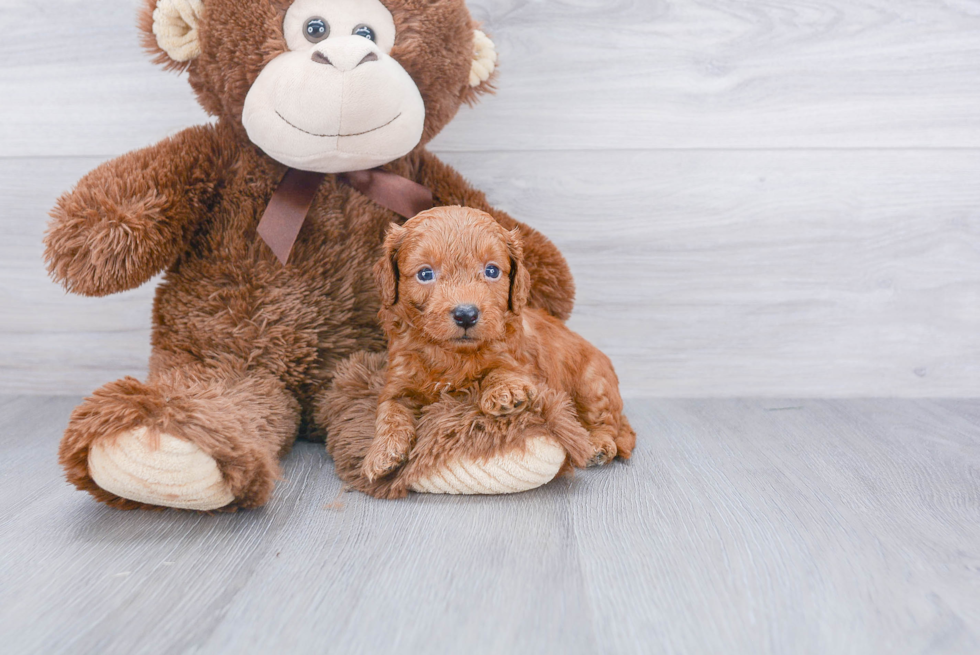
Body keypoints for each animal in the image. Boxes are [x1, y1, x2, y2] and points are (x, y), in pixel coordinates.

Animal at [362, 205, 636, 482]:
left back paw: (598, 444)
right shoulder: (398, 382)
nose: (466, 314)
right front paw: (381, 452)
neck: (452, 354)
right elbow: (390, 411)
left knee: (609, 423)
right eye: (425, 274)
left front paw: (506, 391)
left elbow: (501, 369)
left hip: (592, 384)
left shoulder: (523, 364)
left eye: (491, 271)